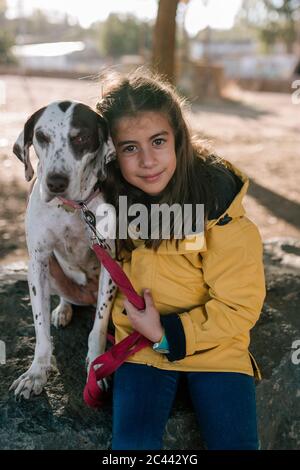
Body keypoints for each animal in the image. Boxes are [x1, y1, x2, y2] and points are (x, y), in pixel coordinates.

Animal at [9, 101, 117, 398]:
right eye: (41, 136)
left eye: (81, 138)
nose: (55, 182)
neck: (71, 208)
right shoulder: (37, 262)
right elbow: (40, 328)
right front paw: (36, 372)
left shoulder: (111, 262)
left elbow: (99, 327)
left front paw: (96, 366)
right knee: (64, 298)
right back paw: (63, 310)